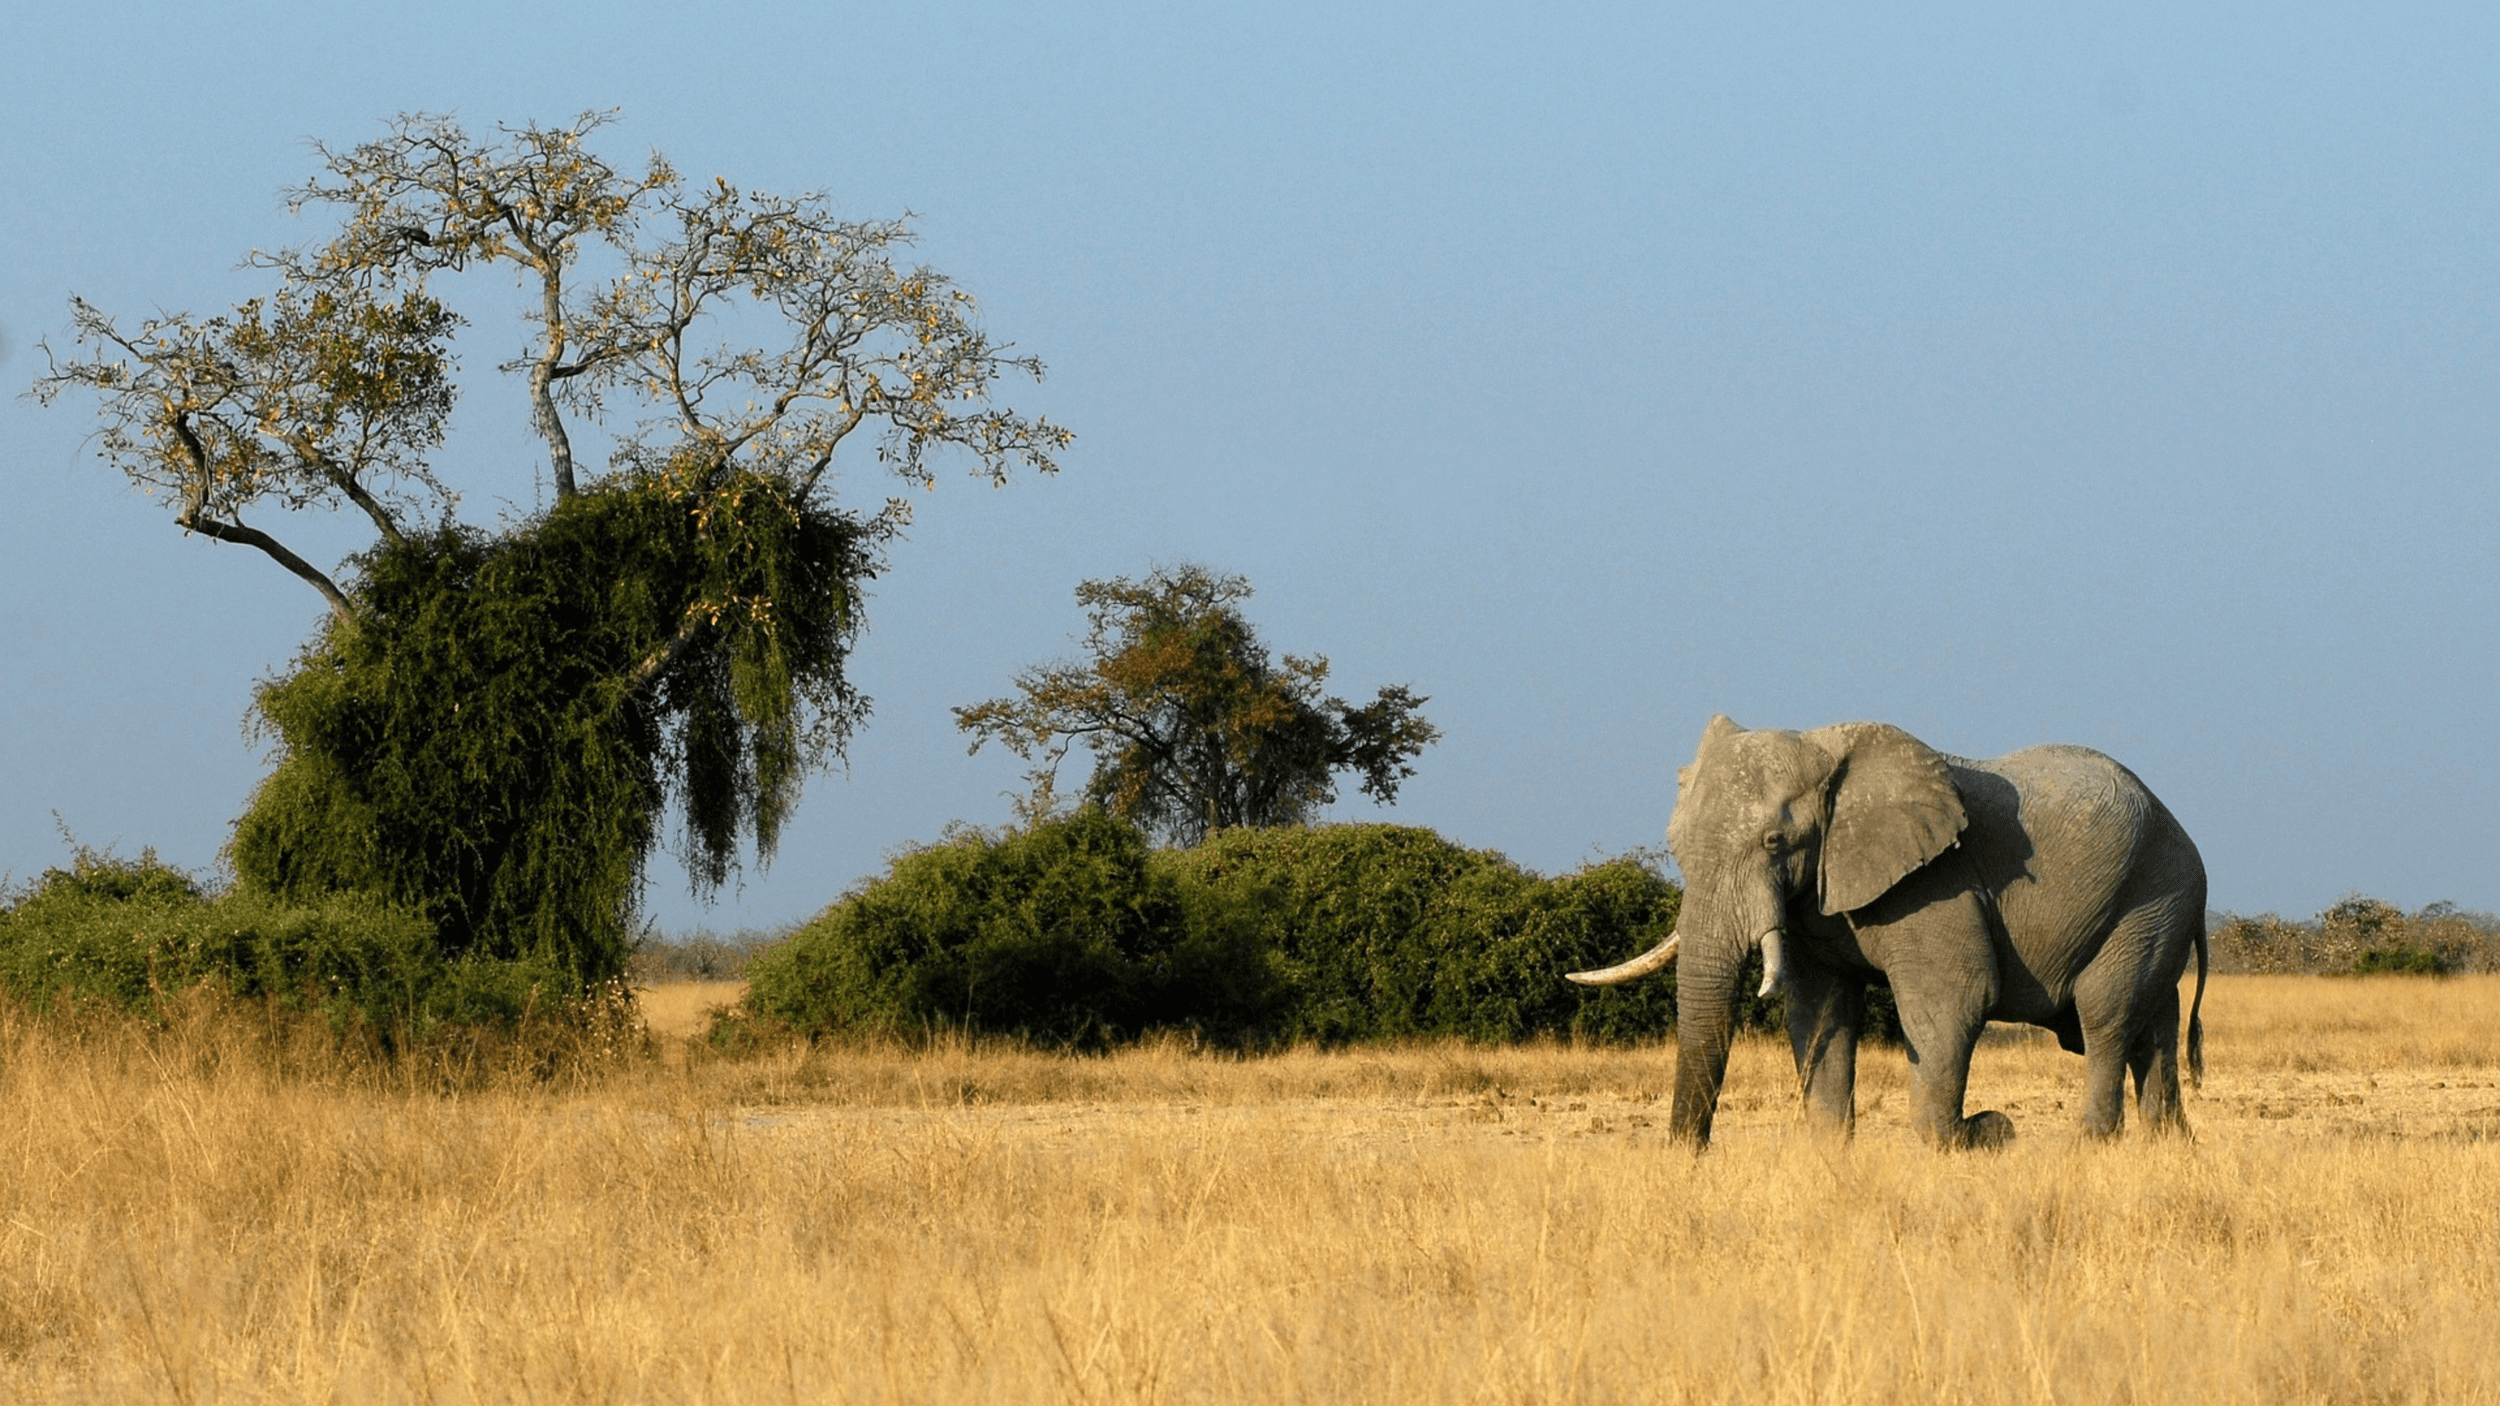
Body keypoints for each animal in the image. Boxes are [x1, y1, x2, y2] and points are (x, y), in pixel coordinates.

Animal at [1570, 716, 2207, 1150]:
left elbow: (1951, 1000)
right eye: (1674, 846)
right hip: (2158, 911)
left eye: (1775, 843)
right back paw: (2168, 1147)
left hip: (2153, 896)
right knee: (2154, 1029)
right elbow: (1819, 1011)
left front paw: (1966, 1140)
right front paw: (1830, 1154)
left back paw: (2090, 1147)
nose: (1692, 1154)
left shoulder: (1935, 883)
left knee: (2105, 1018)